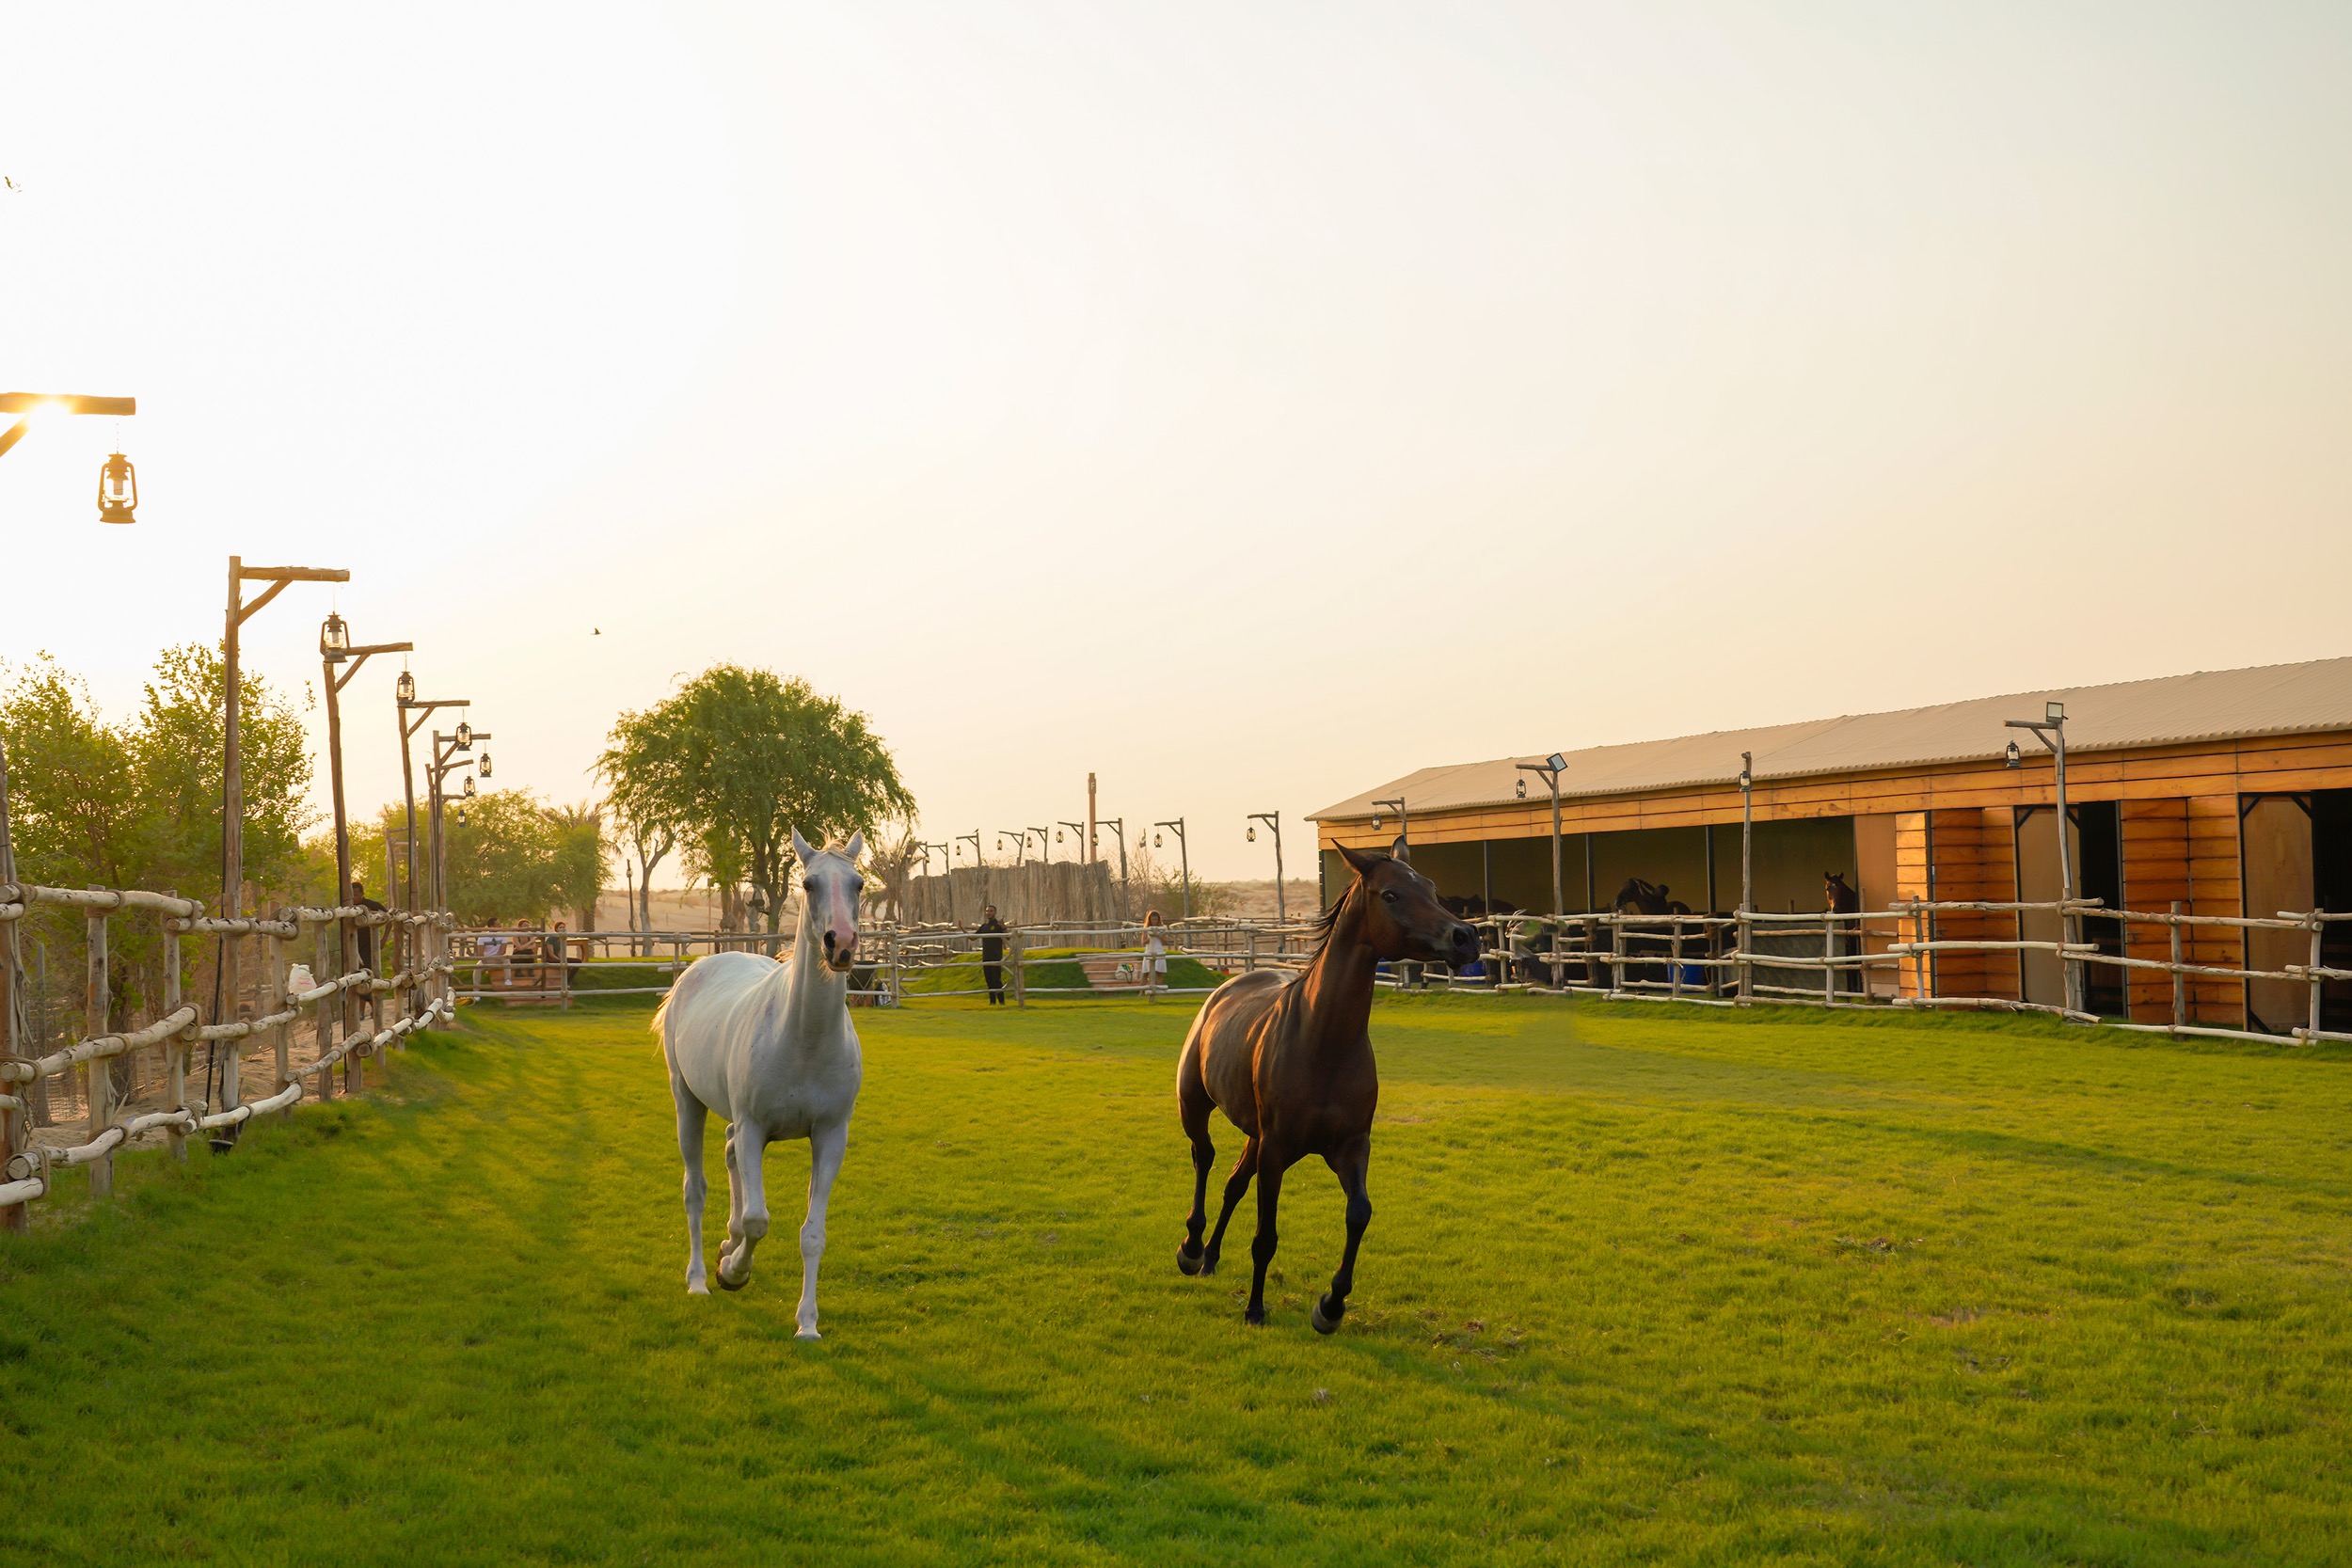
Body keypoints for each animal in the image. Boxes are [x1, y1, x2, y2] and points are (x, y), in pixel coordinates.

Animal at [655, 828, 866, 1334]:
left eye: (859, 884)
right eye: (809, 883)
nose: (841, 944)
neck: (803, 1040)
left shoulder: (830, 1136)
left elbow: (812, 1234)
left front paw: (807, 1323)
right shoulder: (754, 1127)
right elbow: (756, 1219)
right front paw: (733, 1273)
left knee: (730, 1152)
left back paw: (725, 1246)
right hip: (686, 1101)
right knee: (696, 1189)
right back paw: (699, 1278)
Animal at [1173, 837, 1477, 1330]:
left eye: (1431, 888)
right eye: (1390, 894)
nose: (1466, 937)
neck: (1323, 1041)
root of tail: (1225, 986)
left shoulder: (1349, 1146)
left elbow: (1359, 1214)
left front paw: (1330, 1307)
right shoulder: (1277, 1151)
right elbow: (1265, 1236)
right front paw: (1255, 1309)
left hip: (1255, 1136)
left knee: (1233, 1183)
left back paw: (1212, 1258)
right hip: (1196, 1108)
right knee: (1205, 1159)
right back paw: (1192, 1250)